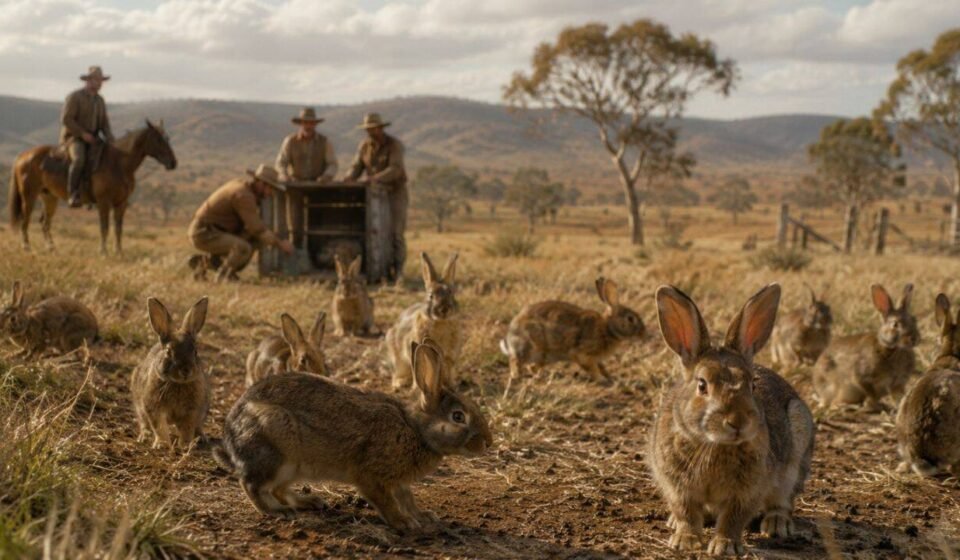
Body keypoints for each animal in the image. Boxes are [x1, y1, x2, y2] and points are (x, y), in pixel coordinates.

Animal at [131, 297, 211, 450]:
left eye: (195, 351)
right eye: (168, 351)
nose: (186, 371)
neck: (177, 384)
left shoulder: (192, 410)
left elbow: (187, 428)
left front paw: (185, 445)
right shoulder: (153, 406)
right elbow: (159, 427)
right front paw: (161, 445)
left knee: (198, 426)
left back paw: (201, 438)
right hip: (139, 406)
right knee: (143, 422)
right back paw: (144, 436)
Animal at [213, 338, 493, 532]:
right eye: (458, 417)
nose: (488, 442)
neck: (417, 430)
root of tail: (231, 439)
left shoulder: (399, 482)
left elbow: (408, 498)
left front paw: (422, 516)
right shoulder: (371, 476)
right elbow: (386, 501)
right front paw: (403, 522)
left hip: (292, 467)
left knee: (279, 489)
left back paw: (309, 501)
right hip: (275, 448)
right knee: (251, 485)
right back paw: (278, 512)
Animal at [386, 252, 461, 390]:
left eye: (451, 294)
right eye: (431, 296)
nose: (444, 309)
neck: (440, 323)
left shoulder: (450, 357)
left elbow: (448, 370)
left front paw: (451, 386)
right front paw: (417, 388)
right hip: (397, 360)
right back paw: (401, 382)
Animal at [499, 277, 644, 396]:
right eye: (630, 319)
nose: (643, 332)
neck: (607, 328)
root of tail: (510, 338)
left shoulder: (596, 358)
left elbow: (602, 367)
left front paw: (611, 377)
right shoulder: (583, 354)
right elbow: (592, 368)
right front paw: (601, 379)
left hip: (544, 357)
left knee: (533, 367)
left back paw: (544, 376)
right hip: (532, 346)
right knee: (515, 361)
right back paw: (517, 376)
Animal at [649, 284, 814, 556]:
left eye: (752, 384)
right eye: (702, 385)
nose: (738, 422)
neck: (713, 444)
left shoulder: (749, 489)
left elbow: (734, 517)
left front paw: (724, 546)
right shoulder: (676, 484)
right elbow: (686, 511)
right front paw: (686, 540)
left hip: (795, 455)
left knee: (783, 500)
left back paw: (776, 524)